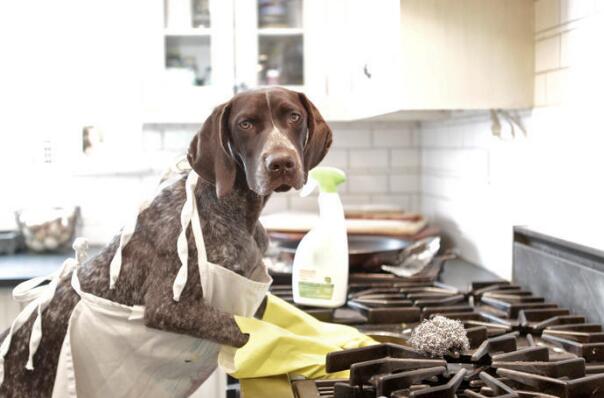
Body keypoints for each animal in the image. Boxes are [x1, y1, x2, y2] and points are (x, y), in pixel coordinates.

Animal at [0, 88, 330, 398]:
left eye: (294, 117)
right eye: (245, 123)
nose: (281, 163)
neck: (232, 207)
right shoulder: (169, 307)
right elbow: (252, 330)